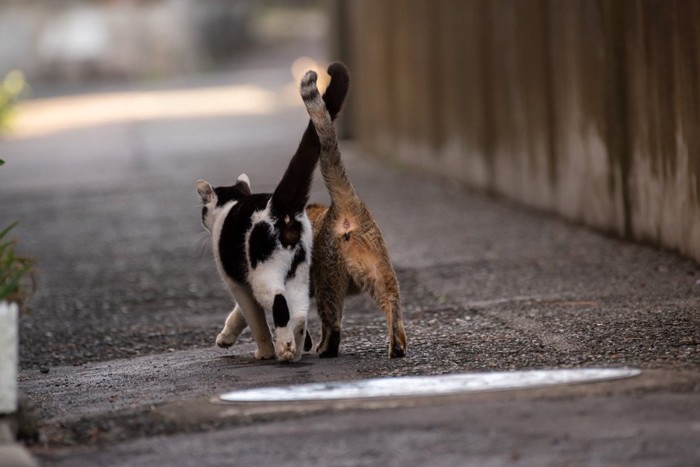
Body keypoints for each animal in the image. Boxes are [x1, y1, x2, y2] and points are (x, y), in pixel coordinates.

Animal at [197, 63, 350, 362]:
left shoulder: (238, 282)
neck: (231, 205)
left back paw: (284, 348)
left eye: (203, 210)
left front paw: (263, 351)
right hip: (299, 273)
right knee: (299, 311)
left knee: (279, 303)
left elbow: (253, 318)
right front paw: (226, 338)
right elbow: (240, 315)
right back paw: (297, 345)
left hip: (265, 275)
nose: (203, 217)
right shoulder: (244, 280)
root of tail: (280, 205)